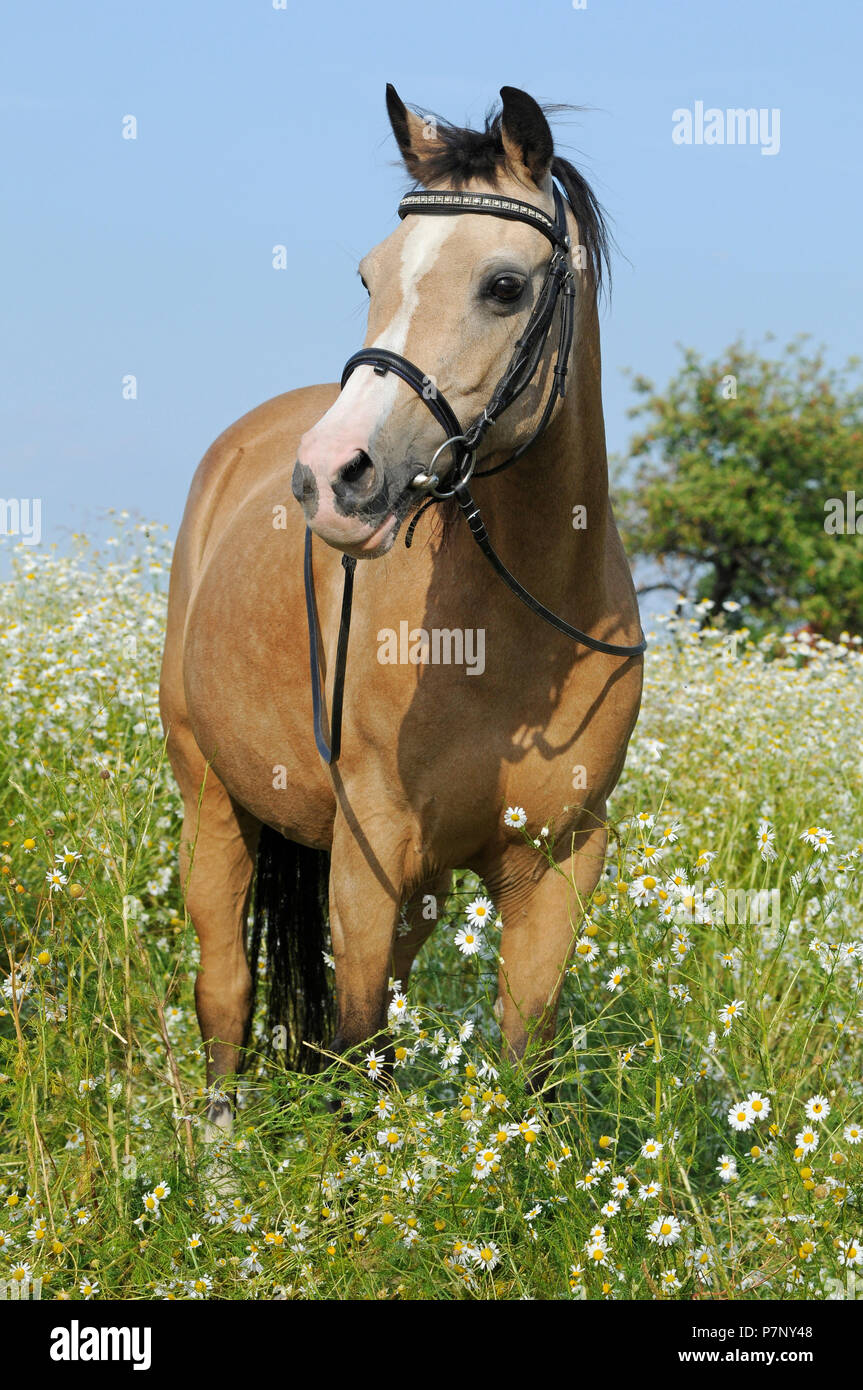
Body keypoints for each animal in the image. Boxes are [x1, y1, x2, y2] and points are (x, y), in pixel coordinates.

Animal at [159, 81, 644, 1134]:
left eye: (502, 286)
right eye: (370, 273)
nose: (330, 476)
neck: (511, 632)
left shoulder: (556, 862)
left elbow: (525, 1058)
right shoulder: (368, 848)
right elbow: (352, 1044)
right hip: (213, 801)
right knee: (227, 994)